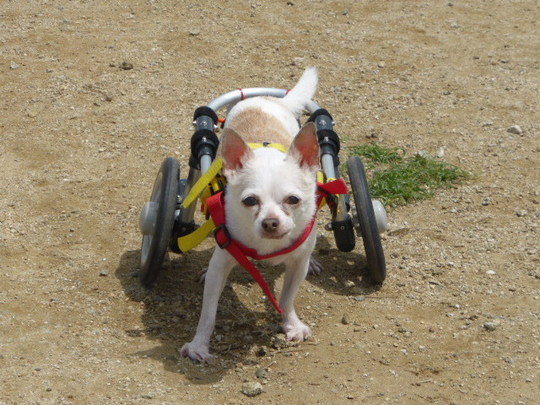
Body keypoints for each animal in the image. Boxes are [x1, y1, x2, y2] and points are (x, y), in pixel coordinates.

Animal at [181, 68, 320, 362]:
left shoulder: (296, 265)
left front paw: (291, 324)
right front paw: (199, 344)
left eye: (293, 200)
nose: (270, 222)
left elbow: (287, 298)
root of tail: (265, 98)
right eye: (249, 201)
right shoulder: (222, 262)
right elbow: (208, 313)